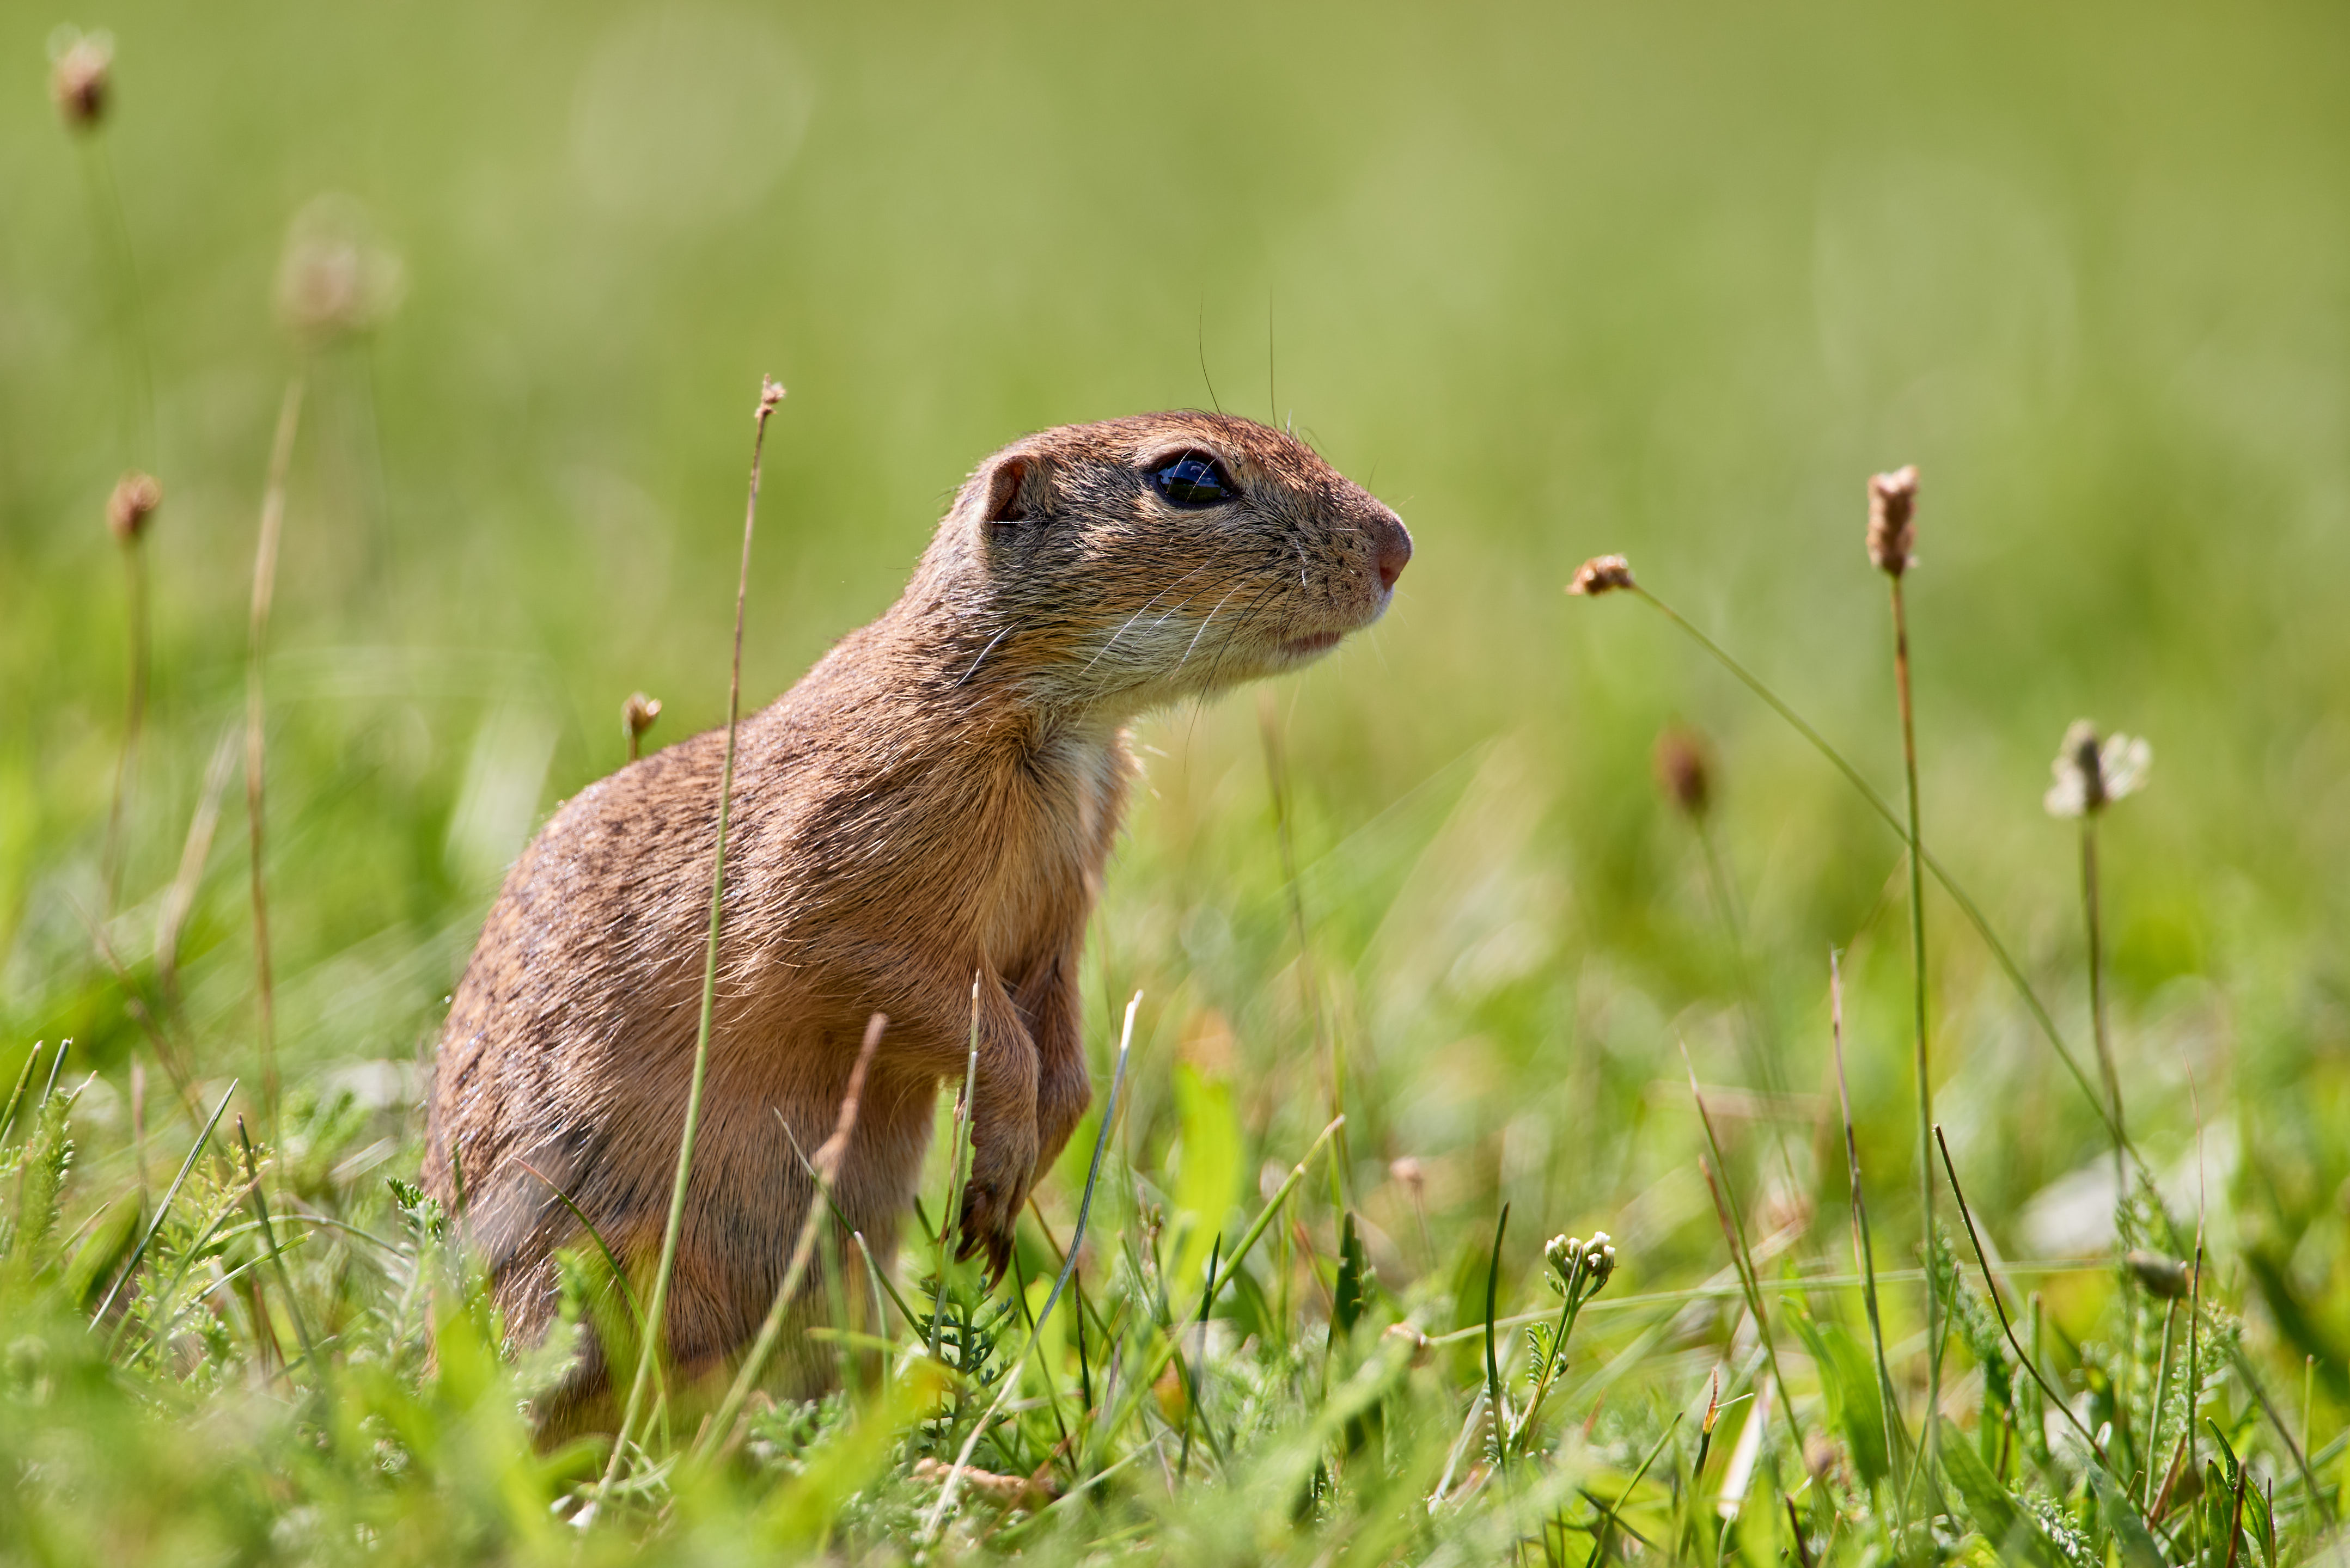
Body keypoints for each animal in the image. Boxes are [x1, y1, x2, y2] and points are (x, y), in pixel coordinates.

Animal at [418, 409, 1410, 1438]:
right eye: (1189, 478)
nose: (1397, 548)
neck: (1048, 716)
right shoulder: (855, 873)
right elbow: (928, 999)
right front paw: (997, 1171)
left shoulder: (1059, 918)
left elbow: (1058, 1040)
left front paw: (1019, 1180)